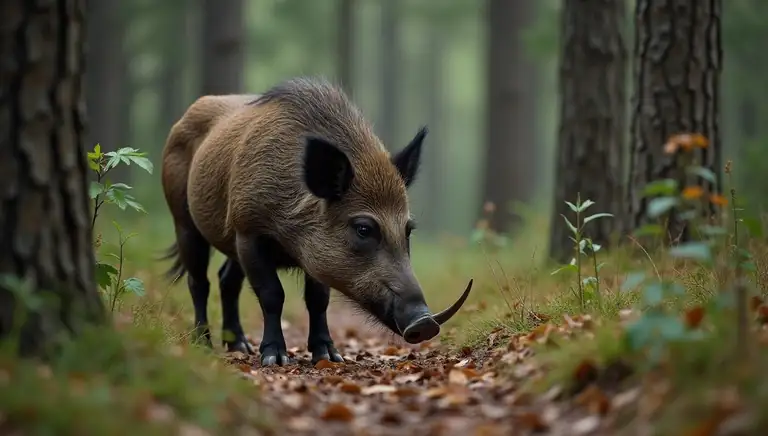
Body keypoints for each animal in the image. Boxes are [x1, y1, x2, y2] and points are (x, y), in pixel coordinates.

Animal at [160, 77, 473, 366]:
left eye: (408, 230)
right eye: (363, 228)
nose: (425, 323)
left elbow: (318, 299)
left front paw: (330, 356)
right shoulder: (249, 231)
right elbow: (272, 294)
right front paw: (275, 358)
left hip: (229, 242)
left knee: (227, 280)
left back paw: (240, 347)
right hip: (183, 220)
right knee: (198, 281)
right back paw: (203, 345)